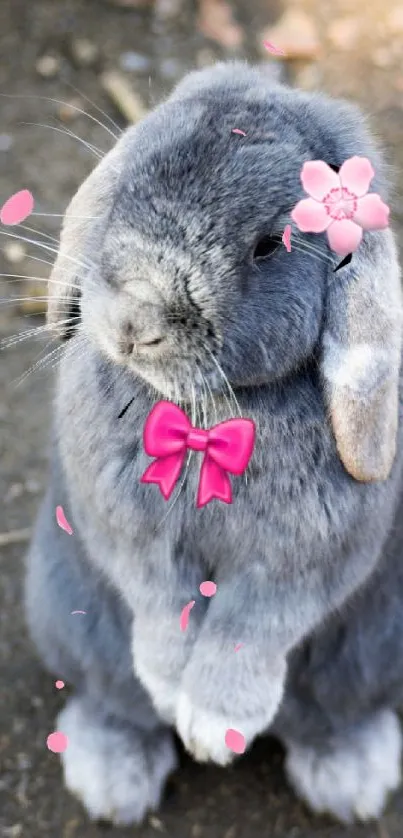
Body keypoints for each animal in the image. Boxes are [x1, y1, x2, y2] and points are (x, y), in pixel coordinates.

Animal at [24, 62, 403, 832]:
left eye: (268, 245)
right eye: (128, 184)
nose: (134, 320)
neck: (208, 417)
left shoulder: (300, 564)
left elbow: (252, 626)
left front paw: (215, 726)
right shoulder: (128, 537)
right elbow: (160, 605)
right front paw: (176, 691)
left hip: (372, 653)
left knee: (333, 716)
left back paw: (350, 778)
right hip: (68, 616)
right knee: (115, 701)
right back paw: (111, 779)